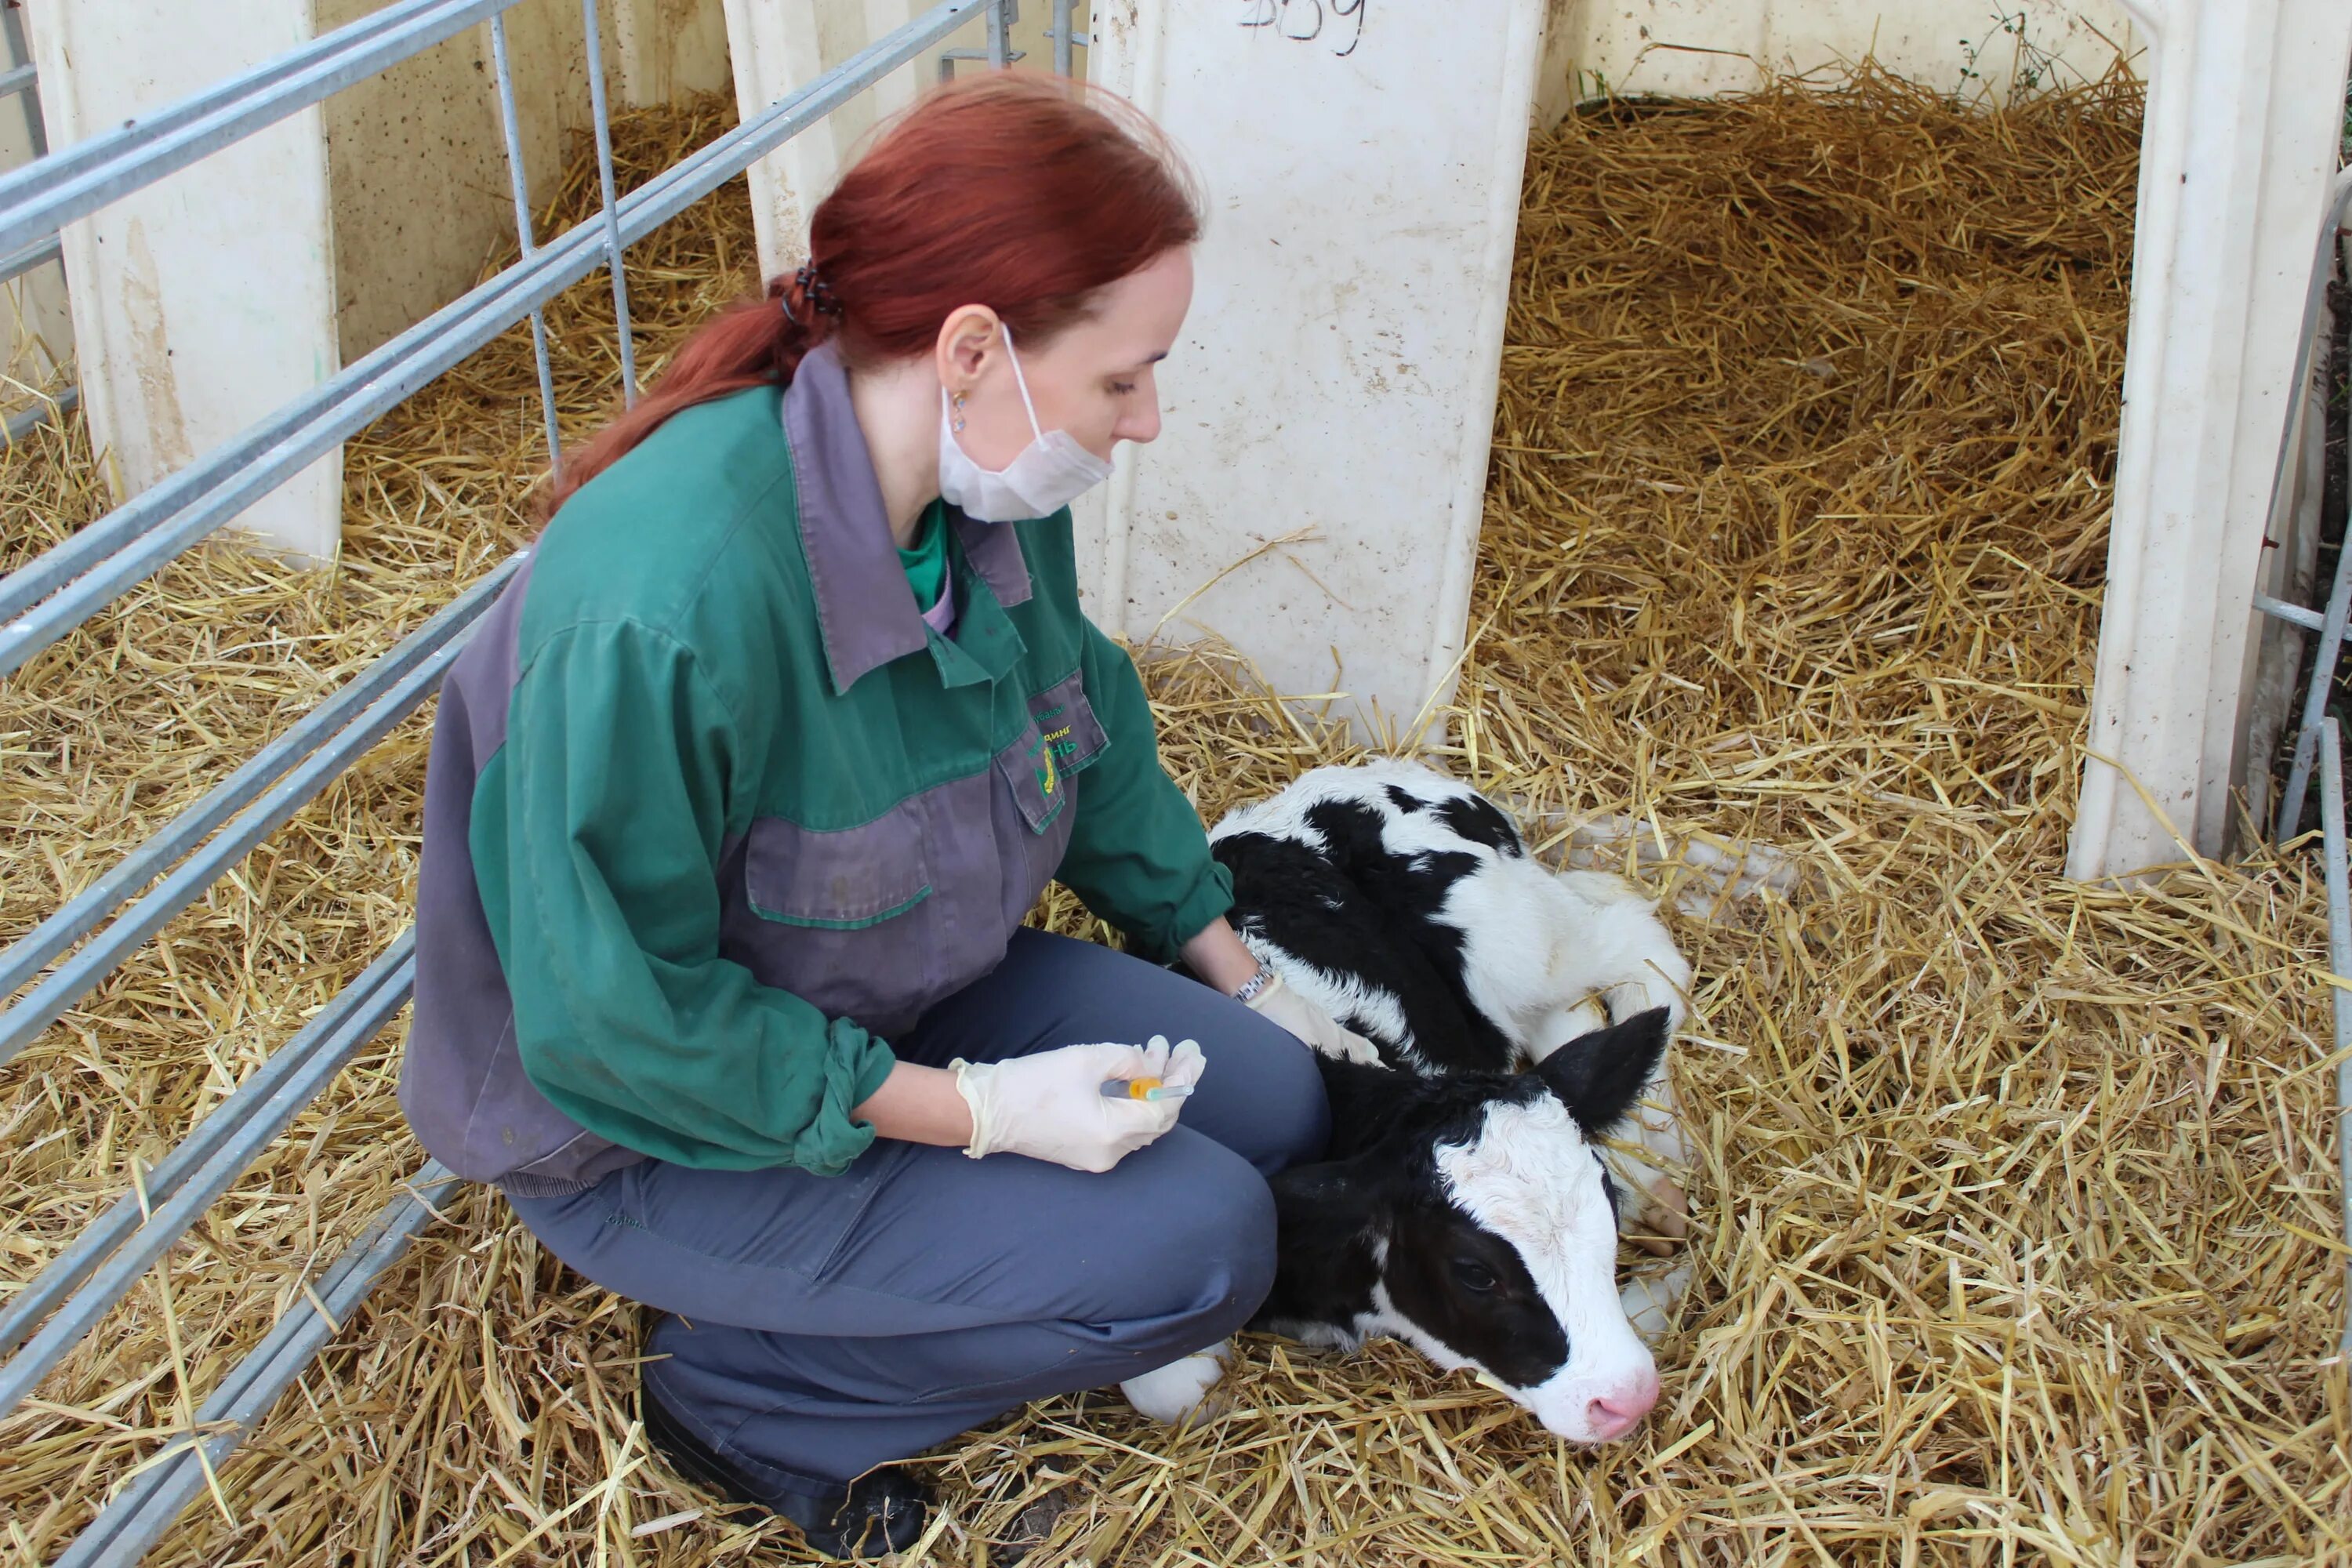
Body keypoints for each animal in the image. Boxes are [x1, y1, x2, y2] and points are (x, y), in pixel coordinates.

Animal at [1214, 761, 1693, 1448]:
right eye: (1475, 1272)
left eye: (1604, 1210)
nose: (1628, 1397)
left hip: (1514, 939)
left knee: (1640, 948)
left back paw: (1663, 1147)